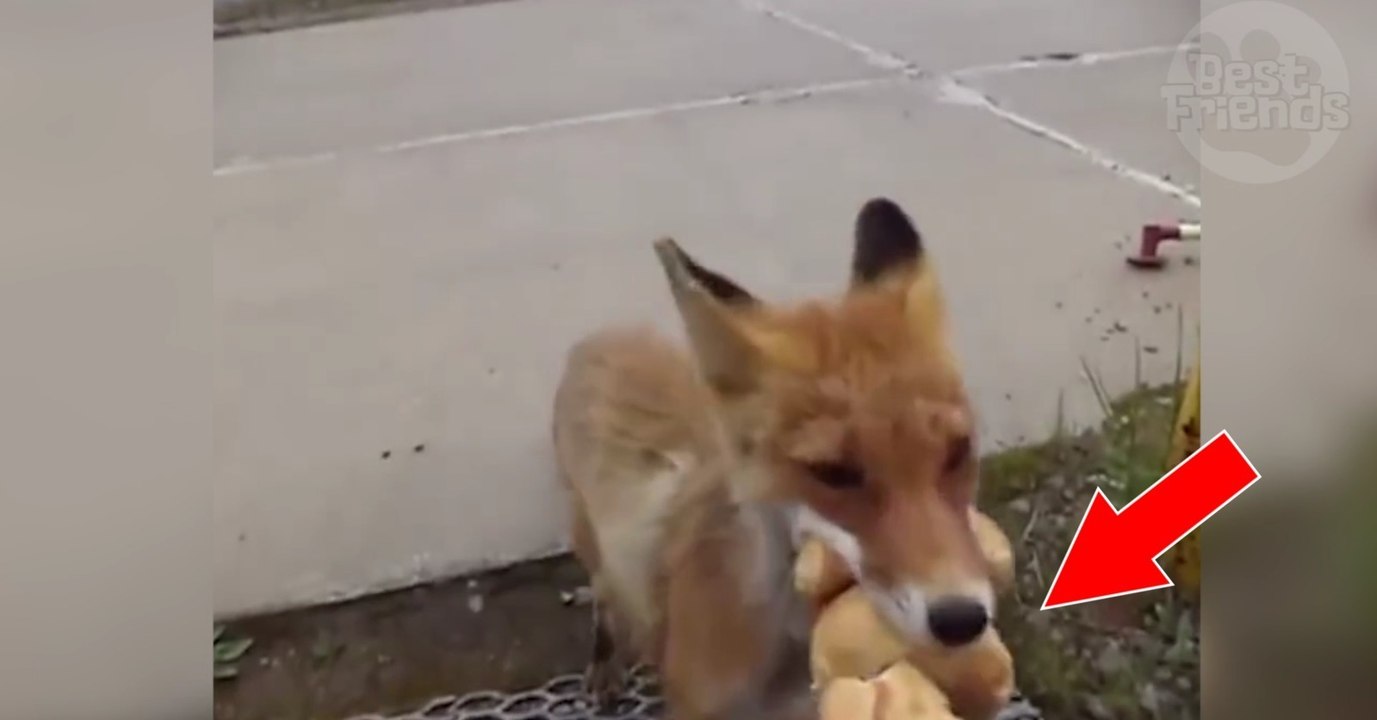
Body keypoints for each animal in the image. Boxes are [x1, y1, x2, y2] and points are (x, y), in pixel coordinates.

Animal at [553, 196, 996, 720]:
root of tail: (603, 334)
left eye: (957, 452)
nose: (963, 620)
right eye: (833, 472)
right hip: (597, 554)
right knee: (604, 602)